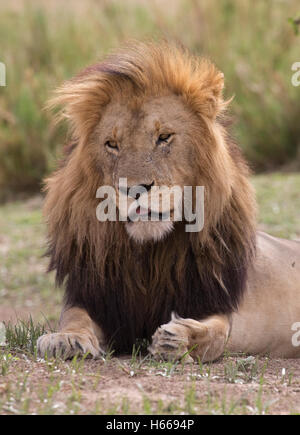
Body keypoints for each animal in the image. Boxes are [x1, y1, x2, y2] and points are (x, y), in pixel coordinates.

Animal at [37, 41, 300, 362]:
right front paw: (65, 339)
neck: (149, 259)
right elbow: (74, 318)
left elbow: (215, 332)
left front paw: (177, 338)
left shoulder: (215, 303)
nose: (134, 189)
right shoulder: (92, 297)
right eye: (112, 144)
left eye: (164, 137)